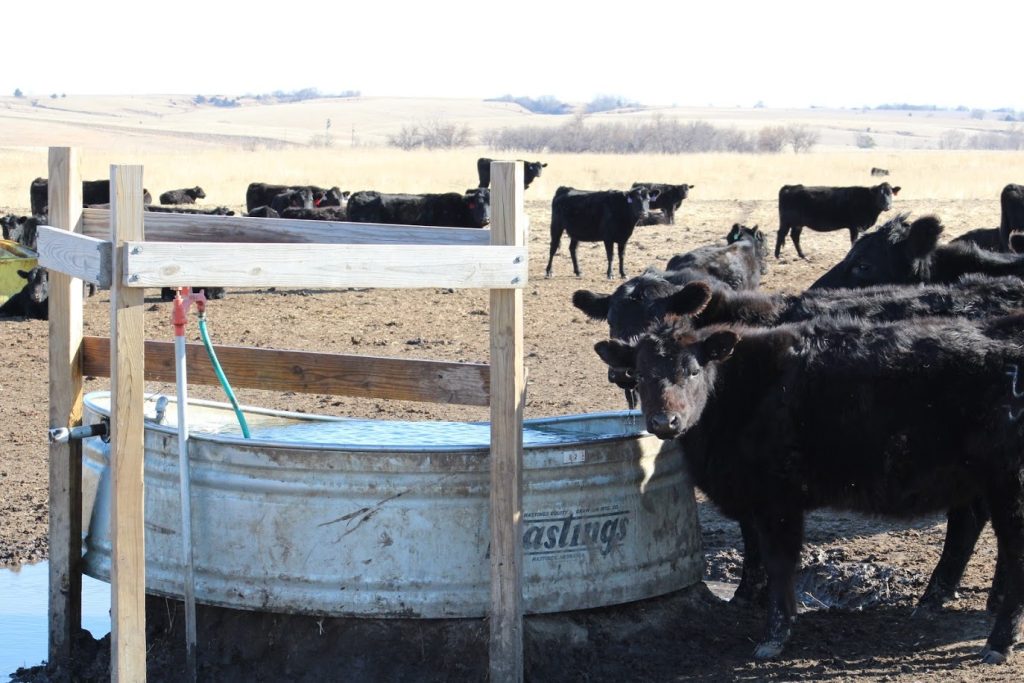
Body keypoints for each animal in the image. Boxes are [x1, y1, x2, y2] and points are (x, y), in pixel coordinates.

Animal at [593, 315, 1024, 663]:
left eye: (694, 371)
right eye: (641, 374)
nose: (665, 421)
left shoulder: (778, 500)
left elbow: (780, 562)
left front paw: (774, 636)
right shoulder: (750, 497)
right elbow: (753, 550)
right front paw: (743, 599)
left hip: (1009, 484)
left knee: (1006, 547)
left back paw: (998, 641)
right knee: (975, 529)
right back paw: (946, 605)